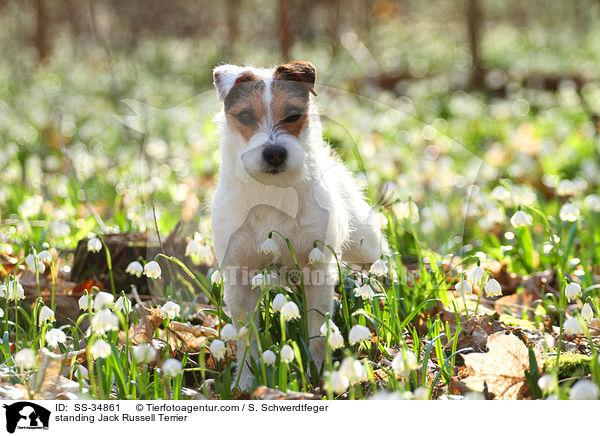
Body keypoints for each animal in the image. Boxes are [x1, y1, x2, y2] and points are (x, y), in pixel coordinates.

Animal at [213, 60, 386, 388]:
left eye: (293, 115)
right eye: (245, 116)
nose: (274, 153)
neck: (273, 193)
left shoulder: (316, 268)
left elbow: (317, 329)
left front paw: (320, 373)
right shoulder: (239, 274)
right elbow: (246, 337)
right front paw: (244, 382)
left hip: (365, 245)